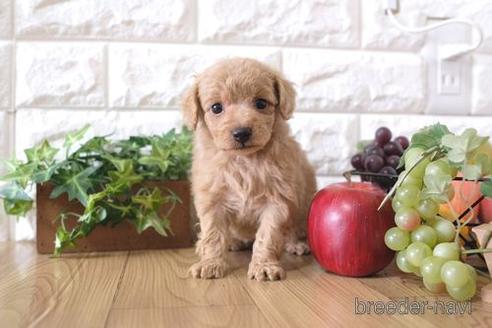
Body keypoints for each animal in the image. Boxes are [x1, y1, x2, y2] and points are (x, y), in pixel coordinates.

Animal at [183, 57, 318, 280]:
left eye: (261, 103)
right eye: (216, 107)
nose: (241, 133)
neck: (244, 160)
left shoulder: (277, 199)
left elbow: (268, 235)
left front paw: (264, 266)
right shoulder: (212, 199)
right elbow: (212, 234)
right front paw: (210, 263)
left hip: (303, 201)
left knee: (293, 227)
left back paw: (296, 244)